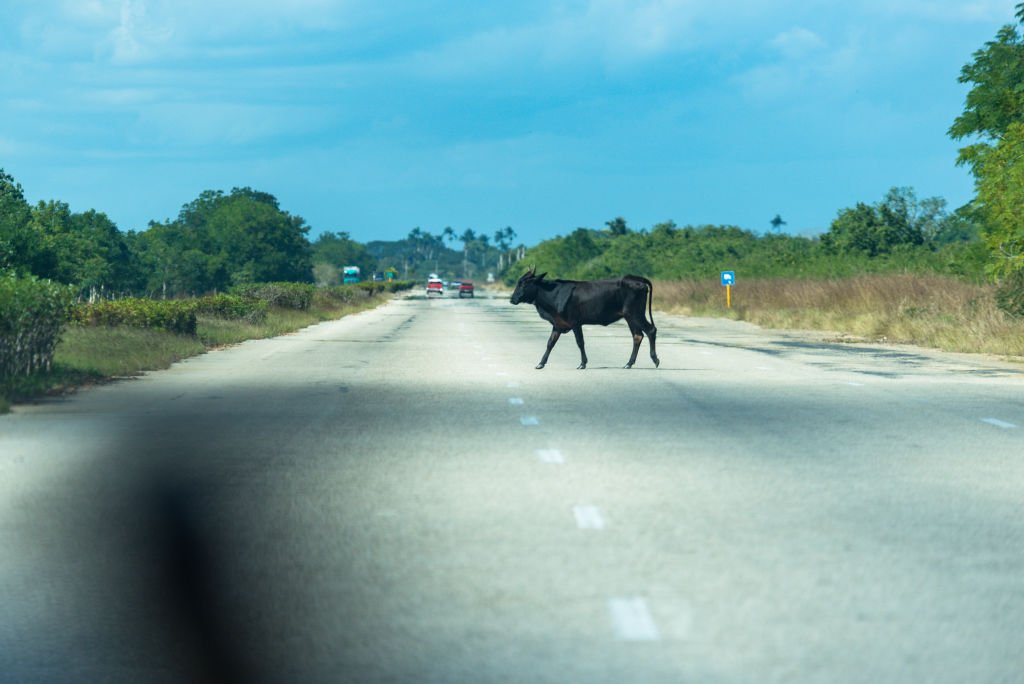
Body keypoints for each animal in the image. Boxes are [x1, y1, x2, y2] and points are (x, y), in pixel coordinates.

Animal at [507, 266, 659, 368]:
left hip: (635, 314)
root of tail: (637, 278)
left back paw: (655, 360)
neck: (554, 295)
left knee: (650, 330)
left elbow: (580, 342)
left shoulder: (575, 322)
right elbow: (550, 343)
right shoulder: (558, 324)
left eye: (525, 283)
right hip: (629, 317)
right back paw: (629, 363)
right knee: (637, 336)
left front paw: (582, 363)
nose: (512, 299)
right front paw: (541, 363)